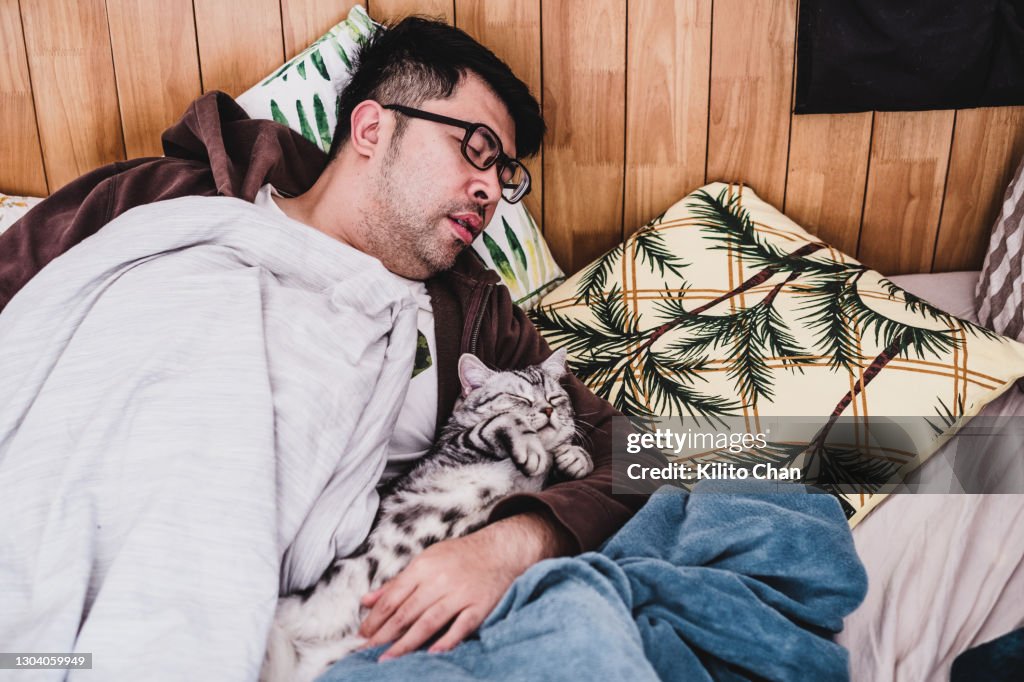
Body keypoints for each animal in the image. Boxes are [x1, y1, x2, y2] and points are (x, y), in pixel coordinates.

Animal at [260, 348, 593, 675]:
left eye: (555, 398)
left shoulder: (531, 489)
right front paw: (536, 447)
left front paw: (574, 456)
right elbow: (499, 422)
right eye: (519, 397)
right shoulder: (455, 450)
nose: (548, 410)